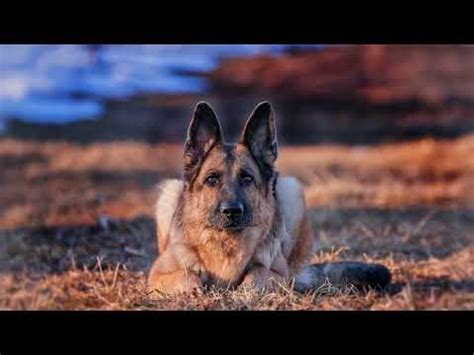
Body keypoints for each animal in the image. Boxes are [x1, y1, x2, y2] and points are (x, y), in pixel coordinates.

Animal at [147, 101, 388, 294]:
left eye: (247, 178)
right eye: (211, 179)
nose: (232, 211)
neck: (226, 242)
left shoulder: (278, 274)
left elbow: (258, 274)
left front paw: (244, 291)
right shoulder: (156, 274)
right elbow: (185, 275)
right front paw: (194, 289)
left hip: (292, 190)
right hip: (169, 191)